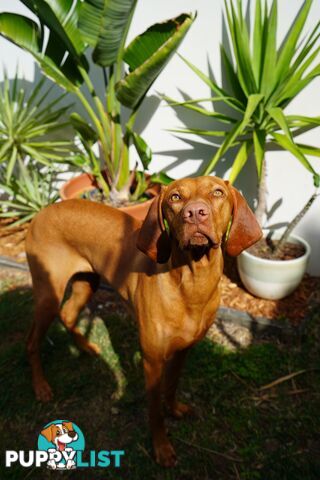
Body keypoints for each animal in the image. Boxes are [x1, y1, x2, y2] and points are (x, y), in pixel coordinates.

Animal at [26, 175, 262, 464]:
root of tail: (42, 212)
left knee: (68, 313)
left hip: (87, 282)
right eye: (175, 197)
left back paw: (86, 348)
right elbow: (154, 409)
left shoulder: (183, 350)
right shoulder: (152, 361)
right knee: (32, 340)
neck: (192, 283)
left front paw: (174, 409)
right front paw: (161, 447)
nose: (195, 213)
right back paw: (41, 387)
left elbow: (172, 386)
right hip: (49, 294)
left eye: (218, 192)